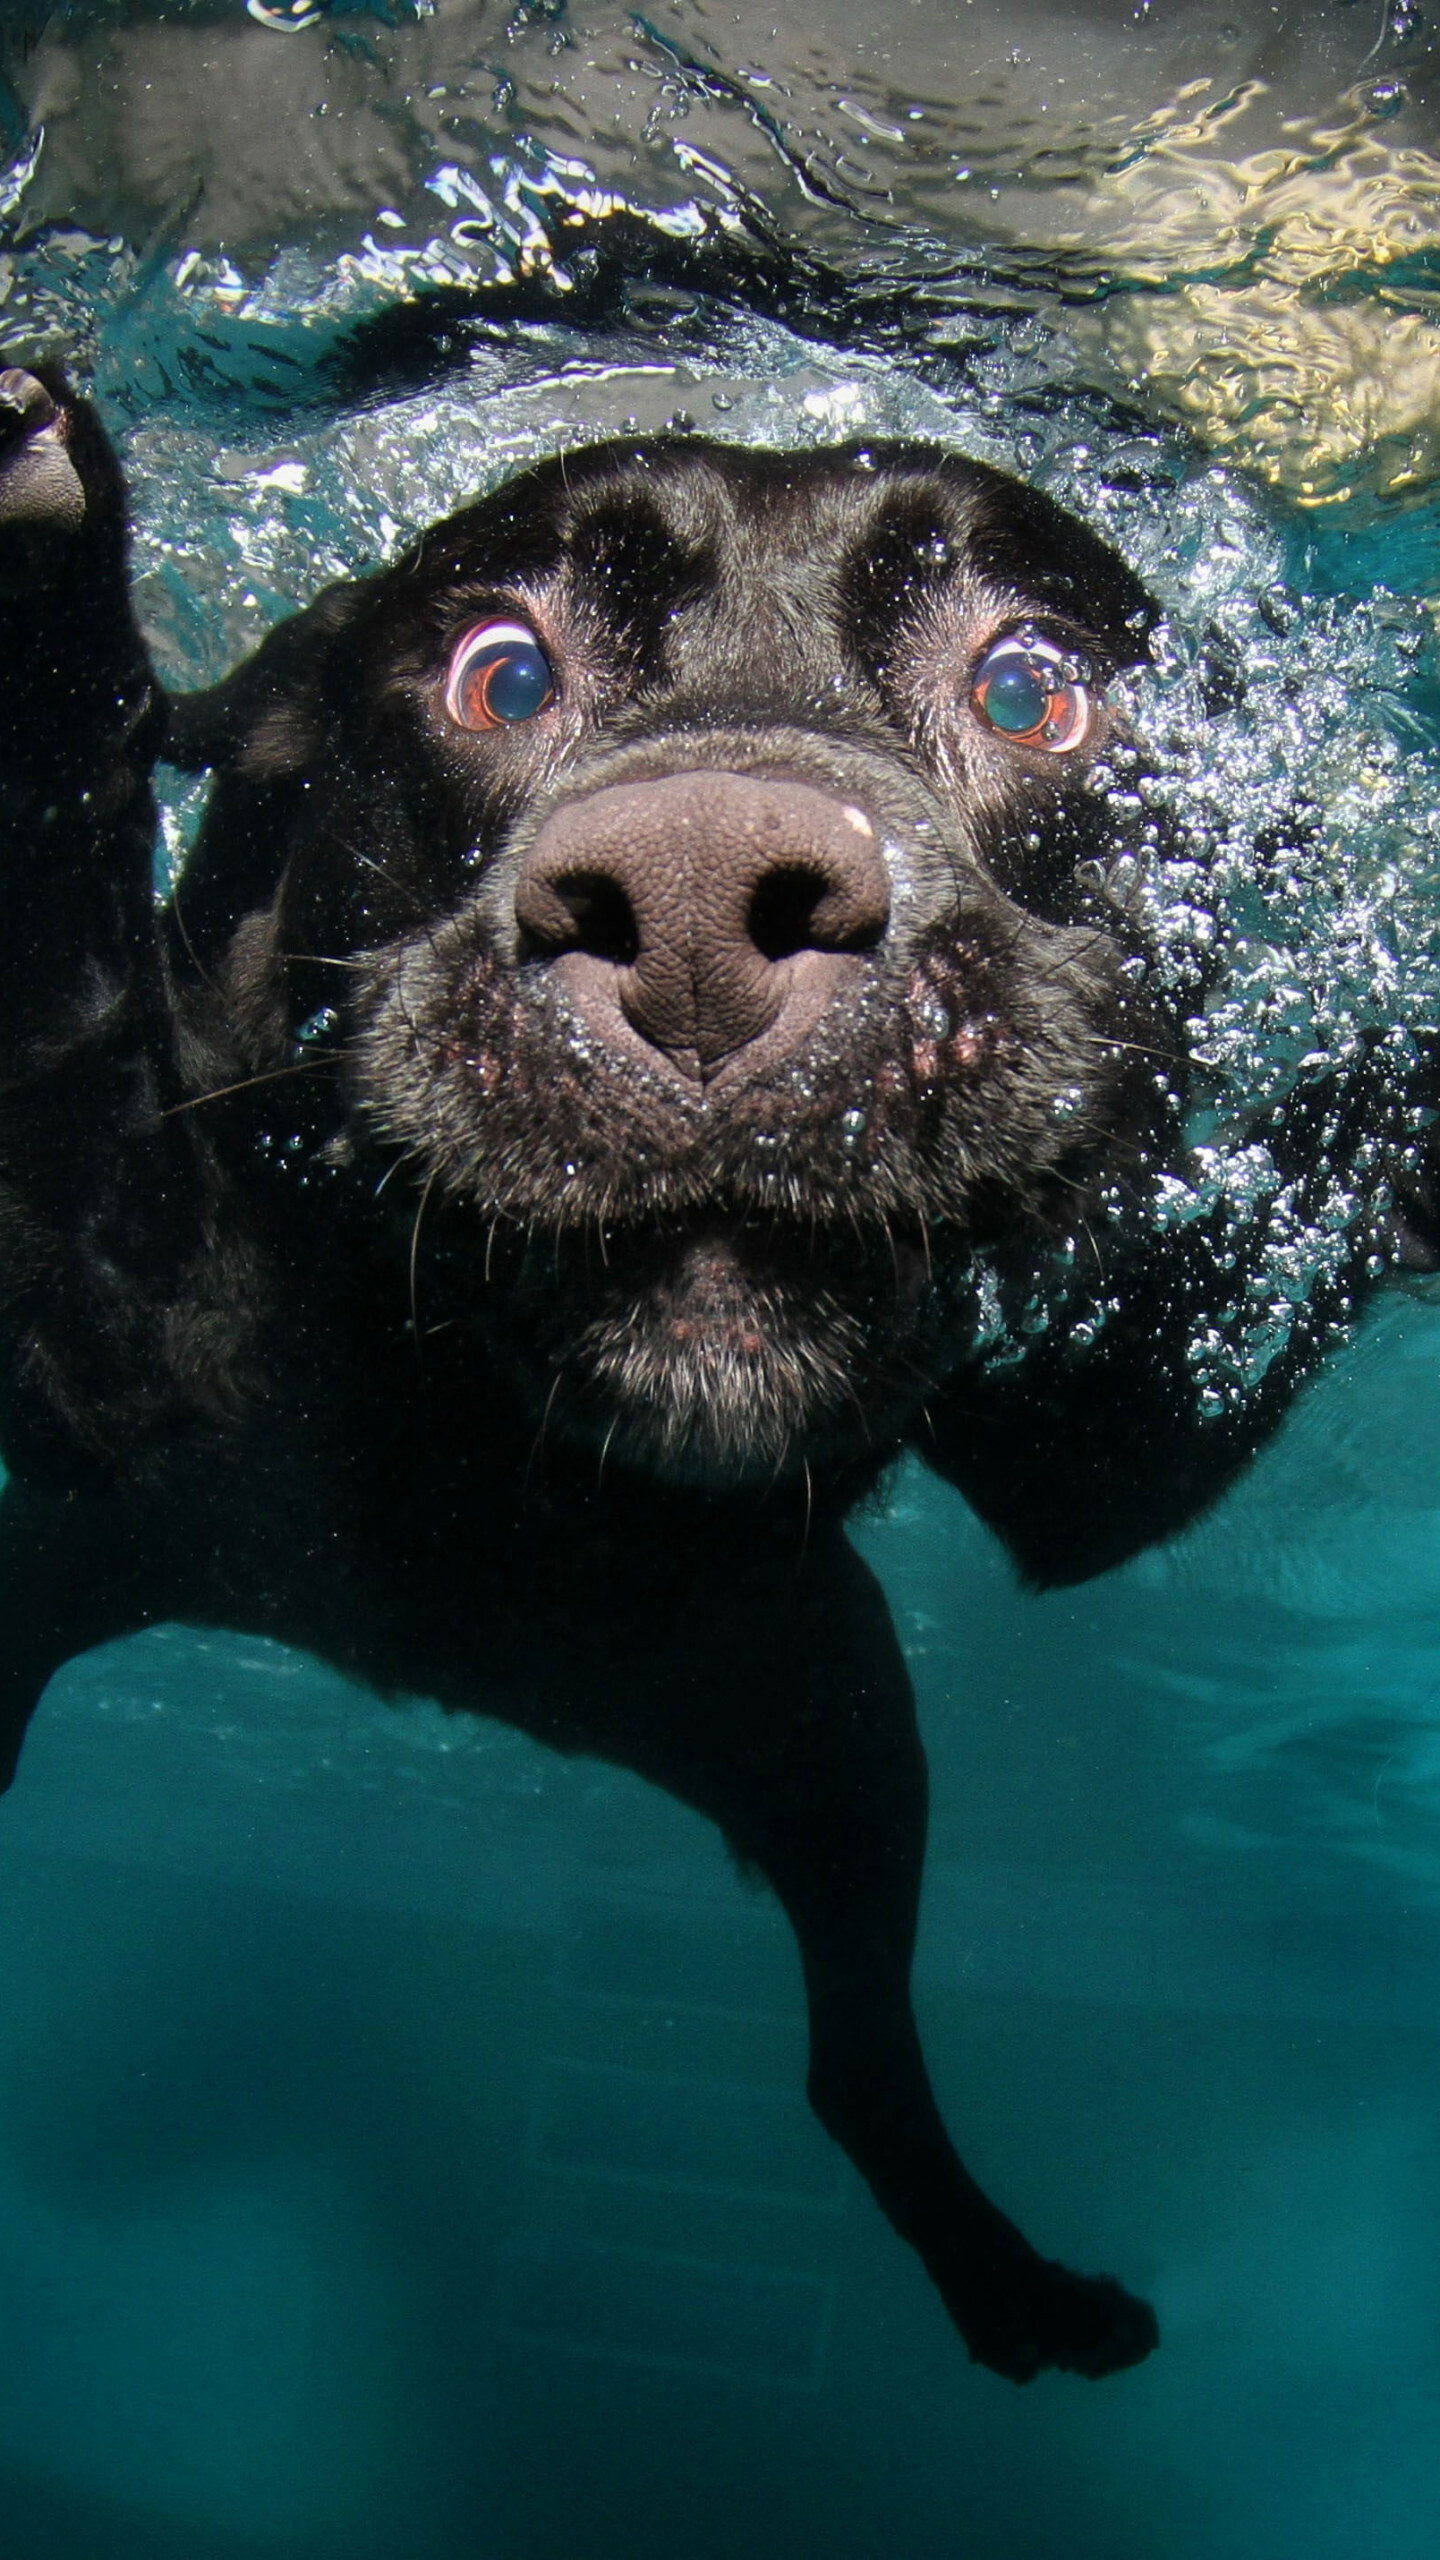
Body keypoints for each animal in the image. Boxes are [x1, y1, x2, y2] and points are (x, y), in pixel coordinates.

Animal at [0, 371, 1404, 2385]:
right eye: (501, 676)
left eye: (1029, 690)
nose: (693, 905)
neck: (485, 1445)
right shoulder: (100, 1306)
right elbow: (62, 979)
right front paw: (46, 575)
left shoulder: (1099, 1451)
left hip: (840, 1730)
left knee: (851, 2069)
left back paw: (1019, 2293)